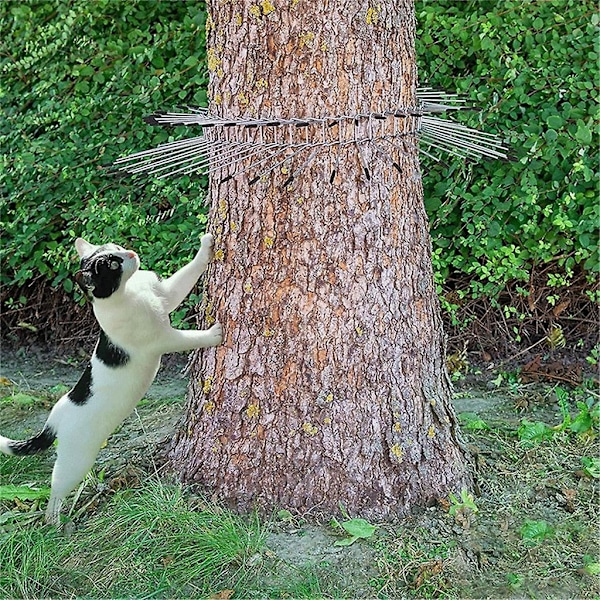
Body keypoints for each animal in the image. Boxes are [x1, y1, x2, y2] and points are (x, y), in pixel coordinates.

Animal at [0, 234, 223, 524]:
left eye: (116, 248)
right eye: (112, 265)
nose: (130, 253)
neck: (128, 291)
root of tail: (52, 420)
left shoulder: (166, 295)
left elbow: (188, 273)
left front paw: (205, 246)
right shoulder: (163, 339)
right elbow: (191, 337)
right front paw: (214, 334)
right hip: (75, 462)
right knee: (56, 488)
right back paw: (54, 521)